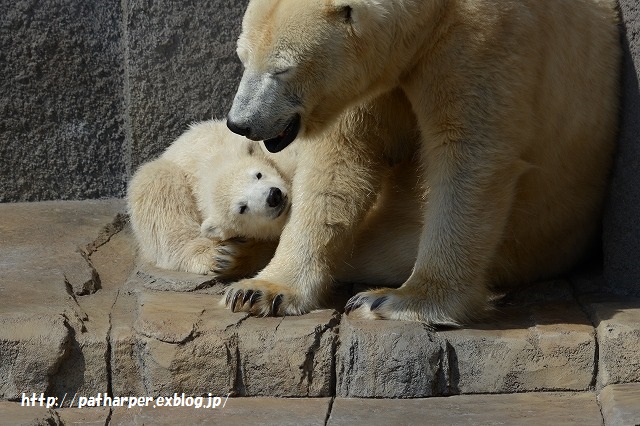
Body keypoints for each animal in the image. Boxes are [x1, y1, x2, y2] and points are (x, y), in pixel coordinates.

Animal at [127, 120, 290, 280]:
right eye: (242, 208)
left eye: (258, 175)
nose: (273, 196)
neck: (212, 161)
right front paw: (233, 256)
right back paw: (215, 257)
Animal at [224, 0, 620, 322]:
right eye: (243, 58)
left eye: (282, 69)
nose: (240, 123)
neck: (434, 15)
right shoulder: (379, 78)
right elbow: (339, 161)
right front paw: (259, 291)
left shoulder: (483, 41)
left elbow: (467, 156)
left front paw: (398, 301)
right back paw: (231, 256)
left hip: (529, 239)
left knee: (383, 250)